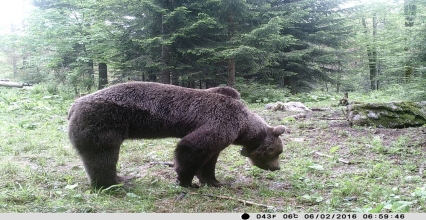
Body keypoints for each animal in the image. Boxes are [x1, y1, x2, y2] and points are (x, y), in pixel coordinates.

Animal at [67, 81, 286, 188]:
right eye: (276, 152)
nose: (277, 168)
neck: (244, 127)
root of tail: (74, 105)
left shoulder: (220, 138)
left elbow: (209, 160)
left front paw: (214, 181)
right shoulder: (221, 123)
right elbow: (191, 148)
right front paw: (186, 181)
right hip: (104, 122)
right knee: (102, 156)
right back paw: (116, 182)